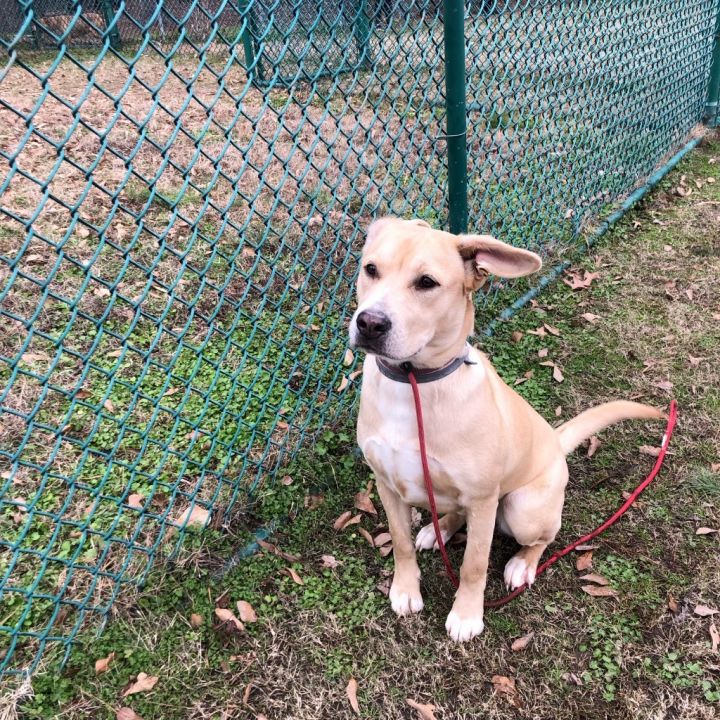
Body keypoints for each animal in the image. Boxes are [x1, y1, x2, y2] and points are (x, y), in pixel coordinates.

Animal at [350, 218, 664, 640]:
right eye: (371, 269)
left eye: (427, 282)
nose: (369, 323)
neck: (413, 382)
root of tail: (555, 440)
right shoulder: (387, 484)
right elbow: (400, 543)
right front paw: (405, 589)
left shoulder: (484, 500)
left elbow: (473, 565)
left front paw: (466, 615)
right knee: (454, 514)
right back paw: (438, 529)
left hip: (521, 509)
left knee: (545, 536)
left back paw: (521, 564)